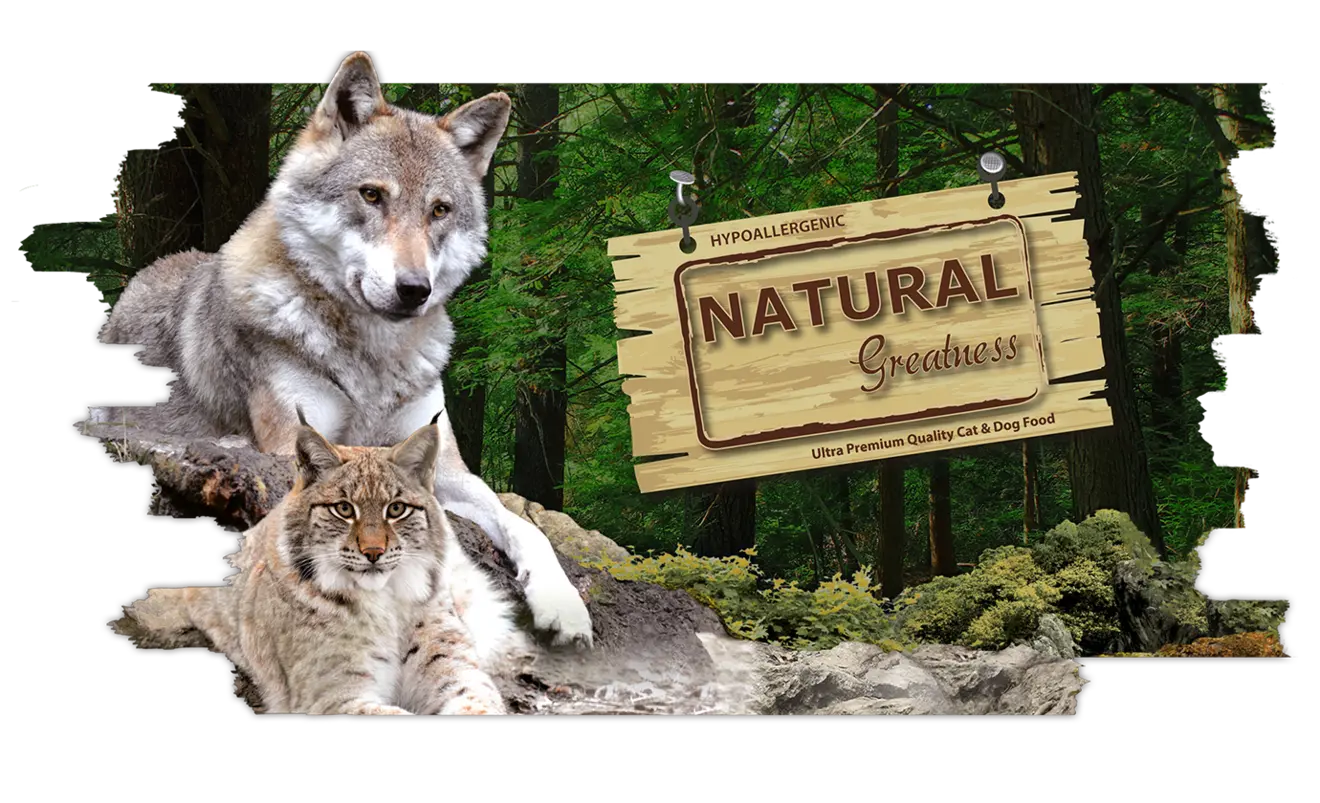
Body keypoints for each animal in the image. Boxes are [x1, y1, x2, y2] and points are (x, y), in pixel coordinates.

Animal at [93, 50, 592, 647]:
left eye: (440, 210)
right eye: (372, 195)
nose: (415, 289)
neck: (372, 364)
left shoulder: (446, 467)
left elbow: (525, 526)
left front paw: (563, 603)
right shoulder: (298, 449)